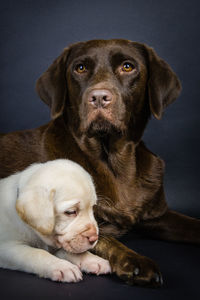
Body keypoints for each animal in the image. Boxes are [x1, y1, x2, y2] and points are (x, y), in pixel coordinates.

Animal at [0, 38, 200, 288]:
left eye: (127, 66)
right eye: (80, 68)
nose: (98, 97)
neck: (115, 163)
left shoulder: (157, 217)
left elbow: (194, 224)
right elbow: (106, 241)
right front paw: (134, 261)